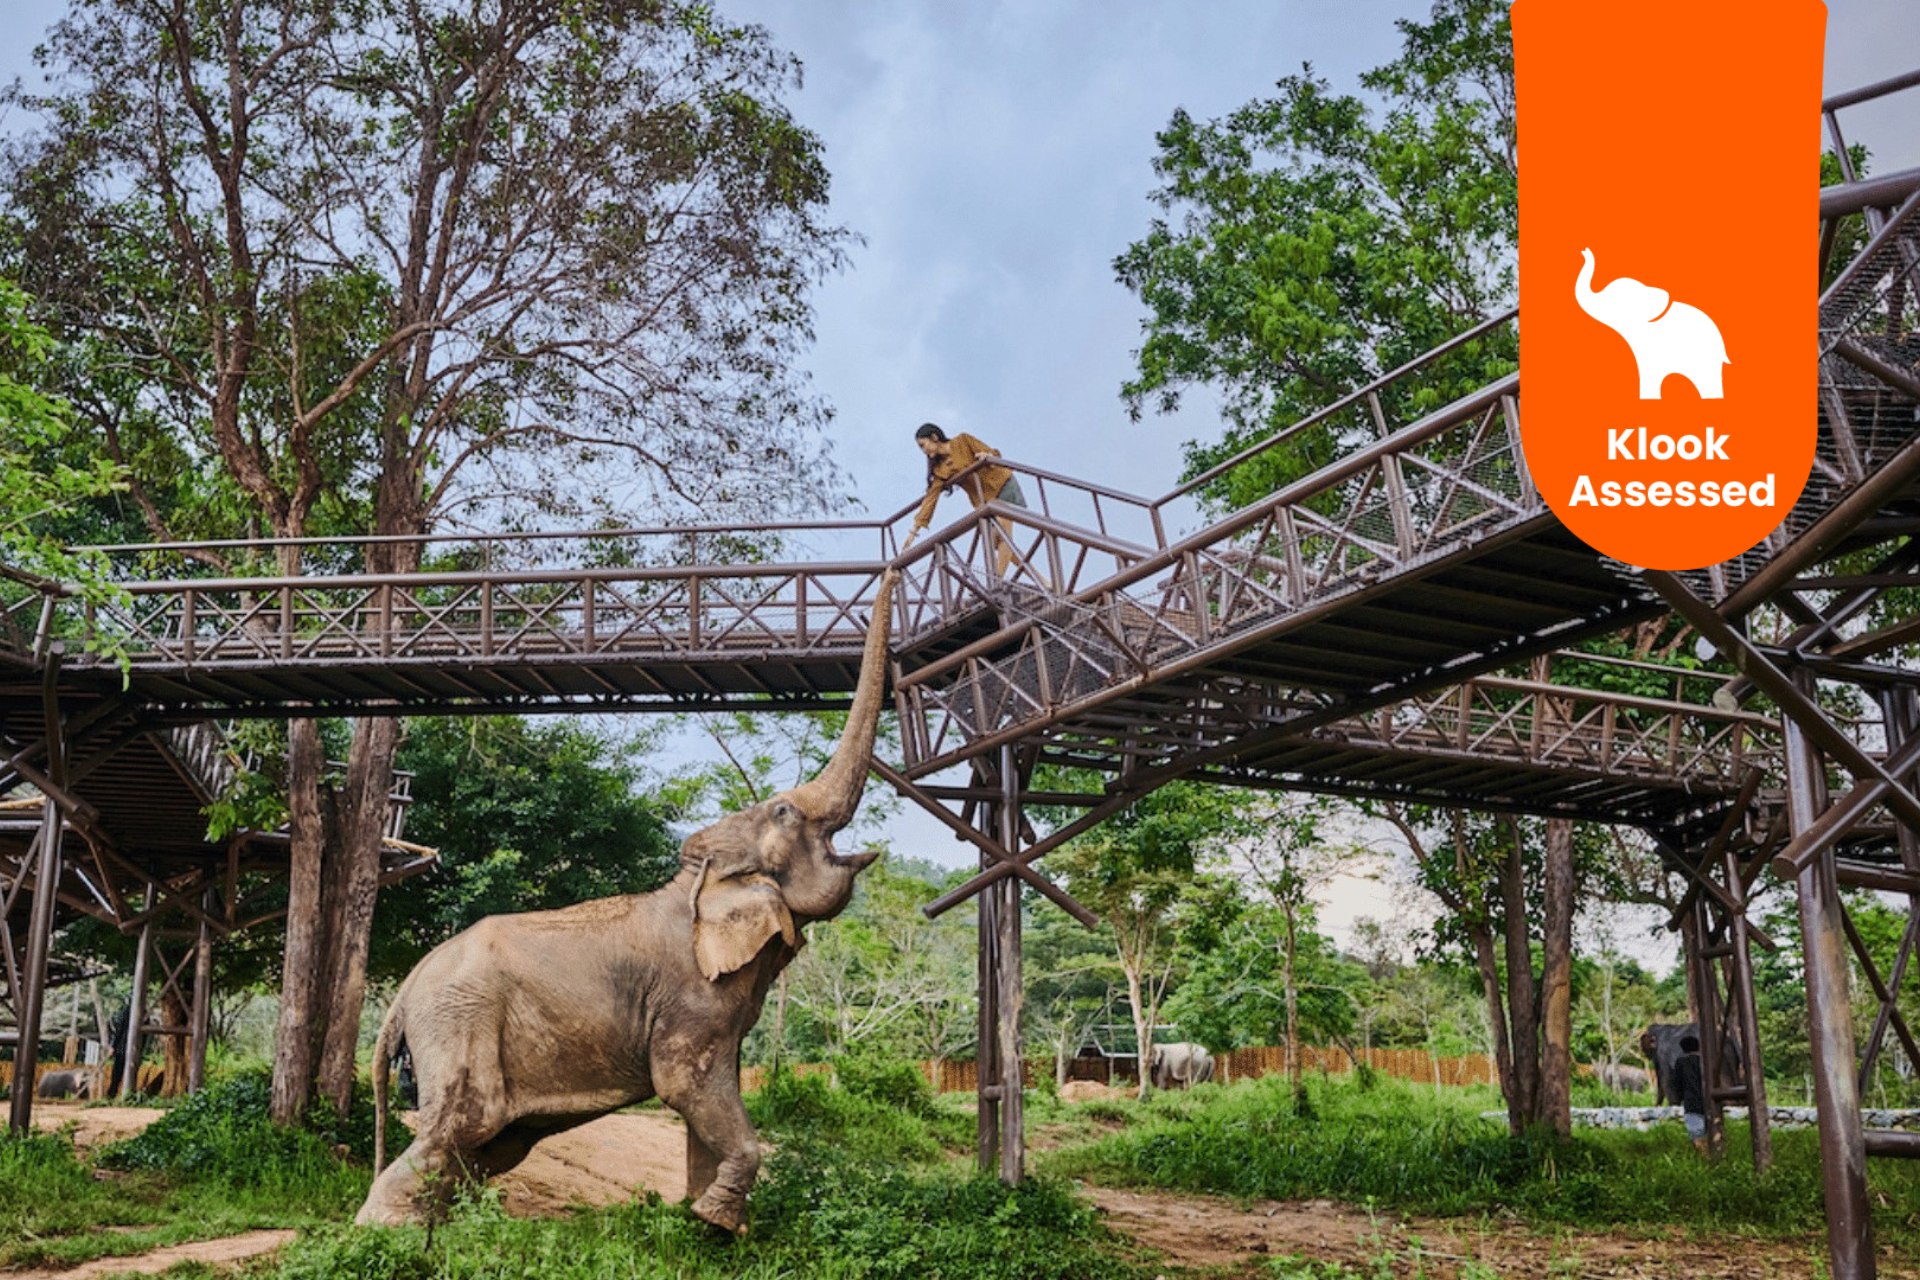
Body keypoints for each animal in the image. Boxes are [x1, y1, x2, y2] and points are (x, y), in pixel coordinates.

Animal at [356, 571, 897, 1235]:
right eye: (785, 811)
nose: (894, 566)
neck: (696, 881)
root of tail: (404, 991)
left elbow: (710, 1095)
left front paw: (708, 1226)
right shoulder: (690, 999)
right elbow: (685, 1085)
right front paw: (716, 1221)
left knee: (487, 1145)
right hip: (459, 1022)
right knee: (462, 1124)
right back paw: (386, 1235)